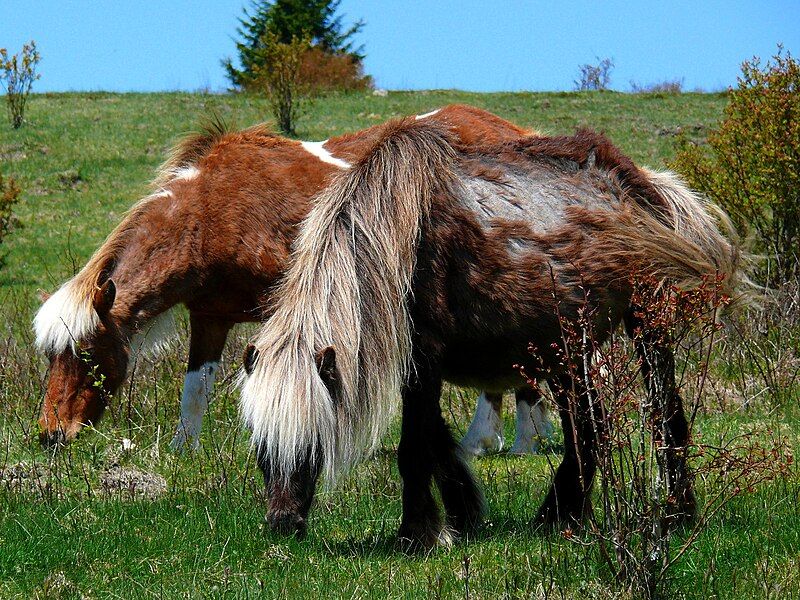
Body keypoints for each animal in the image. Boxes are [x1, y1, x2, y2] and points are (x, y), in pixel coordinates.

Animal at [34, 104, 548, 450]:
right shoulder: (209, 317)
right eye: (50, 356)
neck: (211, 211)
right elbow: (195, 388)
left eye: (85, 353)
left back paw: (506, 441)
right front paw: (184, 450)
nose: (51, 434)